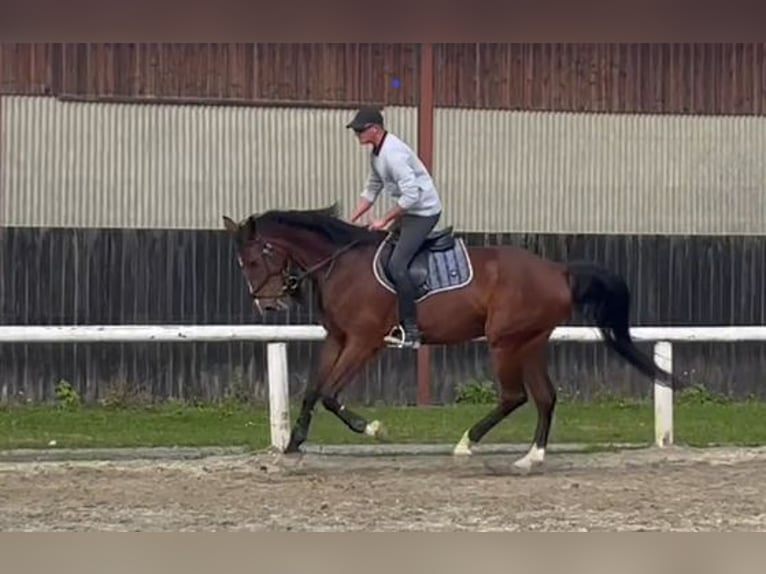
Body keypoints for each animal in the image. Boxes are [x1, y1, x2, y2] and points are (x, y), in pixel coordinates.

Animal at [222, 204, 680, 472]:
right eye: (242, 263)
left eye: (253, 259)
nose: (267, 305)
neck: (341, 264)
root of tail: (558, 270)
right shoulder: (337, 339)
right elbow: (313, 391)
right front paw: (292, 445)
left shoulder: (364, 342)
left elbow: (332, 396)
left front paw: (373, 429)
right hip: (530, 341)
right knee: (545, 397)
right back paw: (530, 456)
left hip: (504, 342)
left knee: (515, 396)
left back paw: (466, 444)